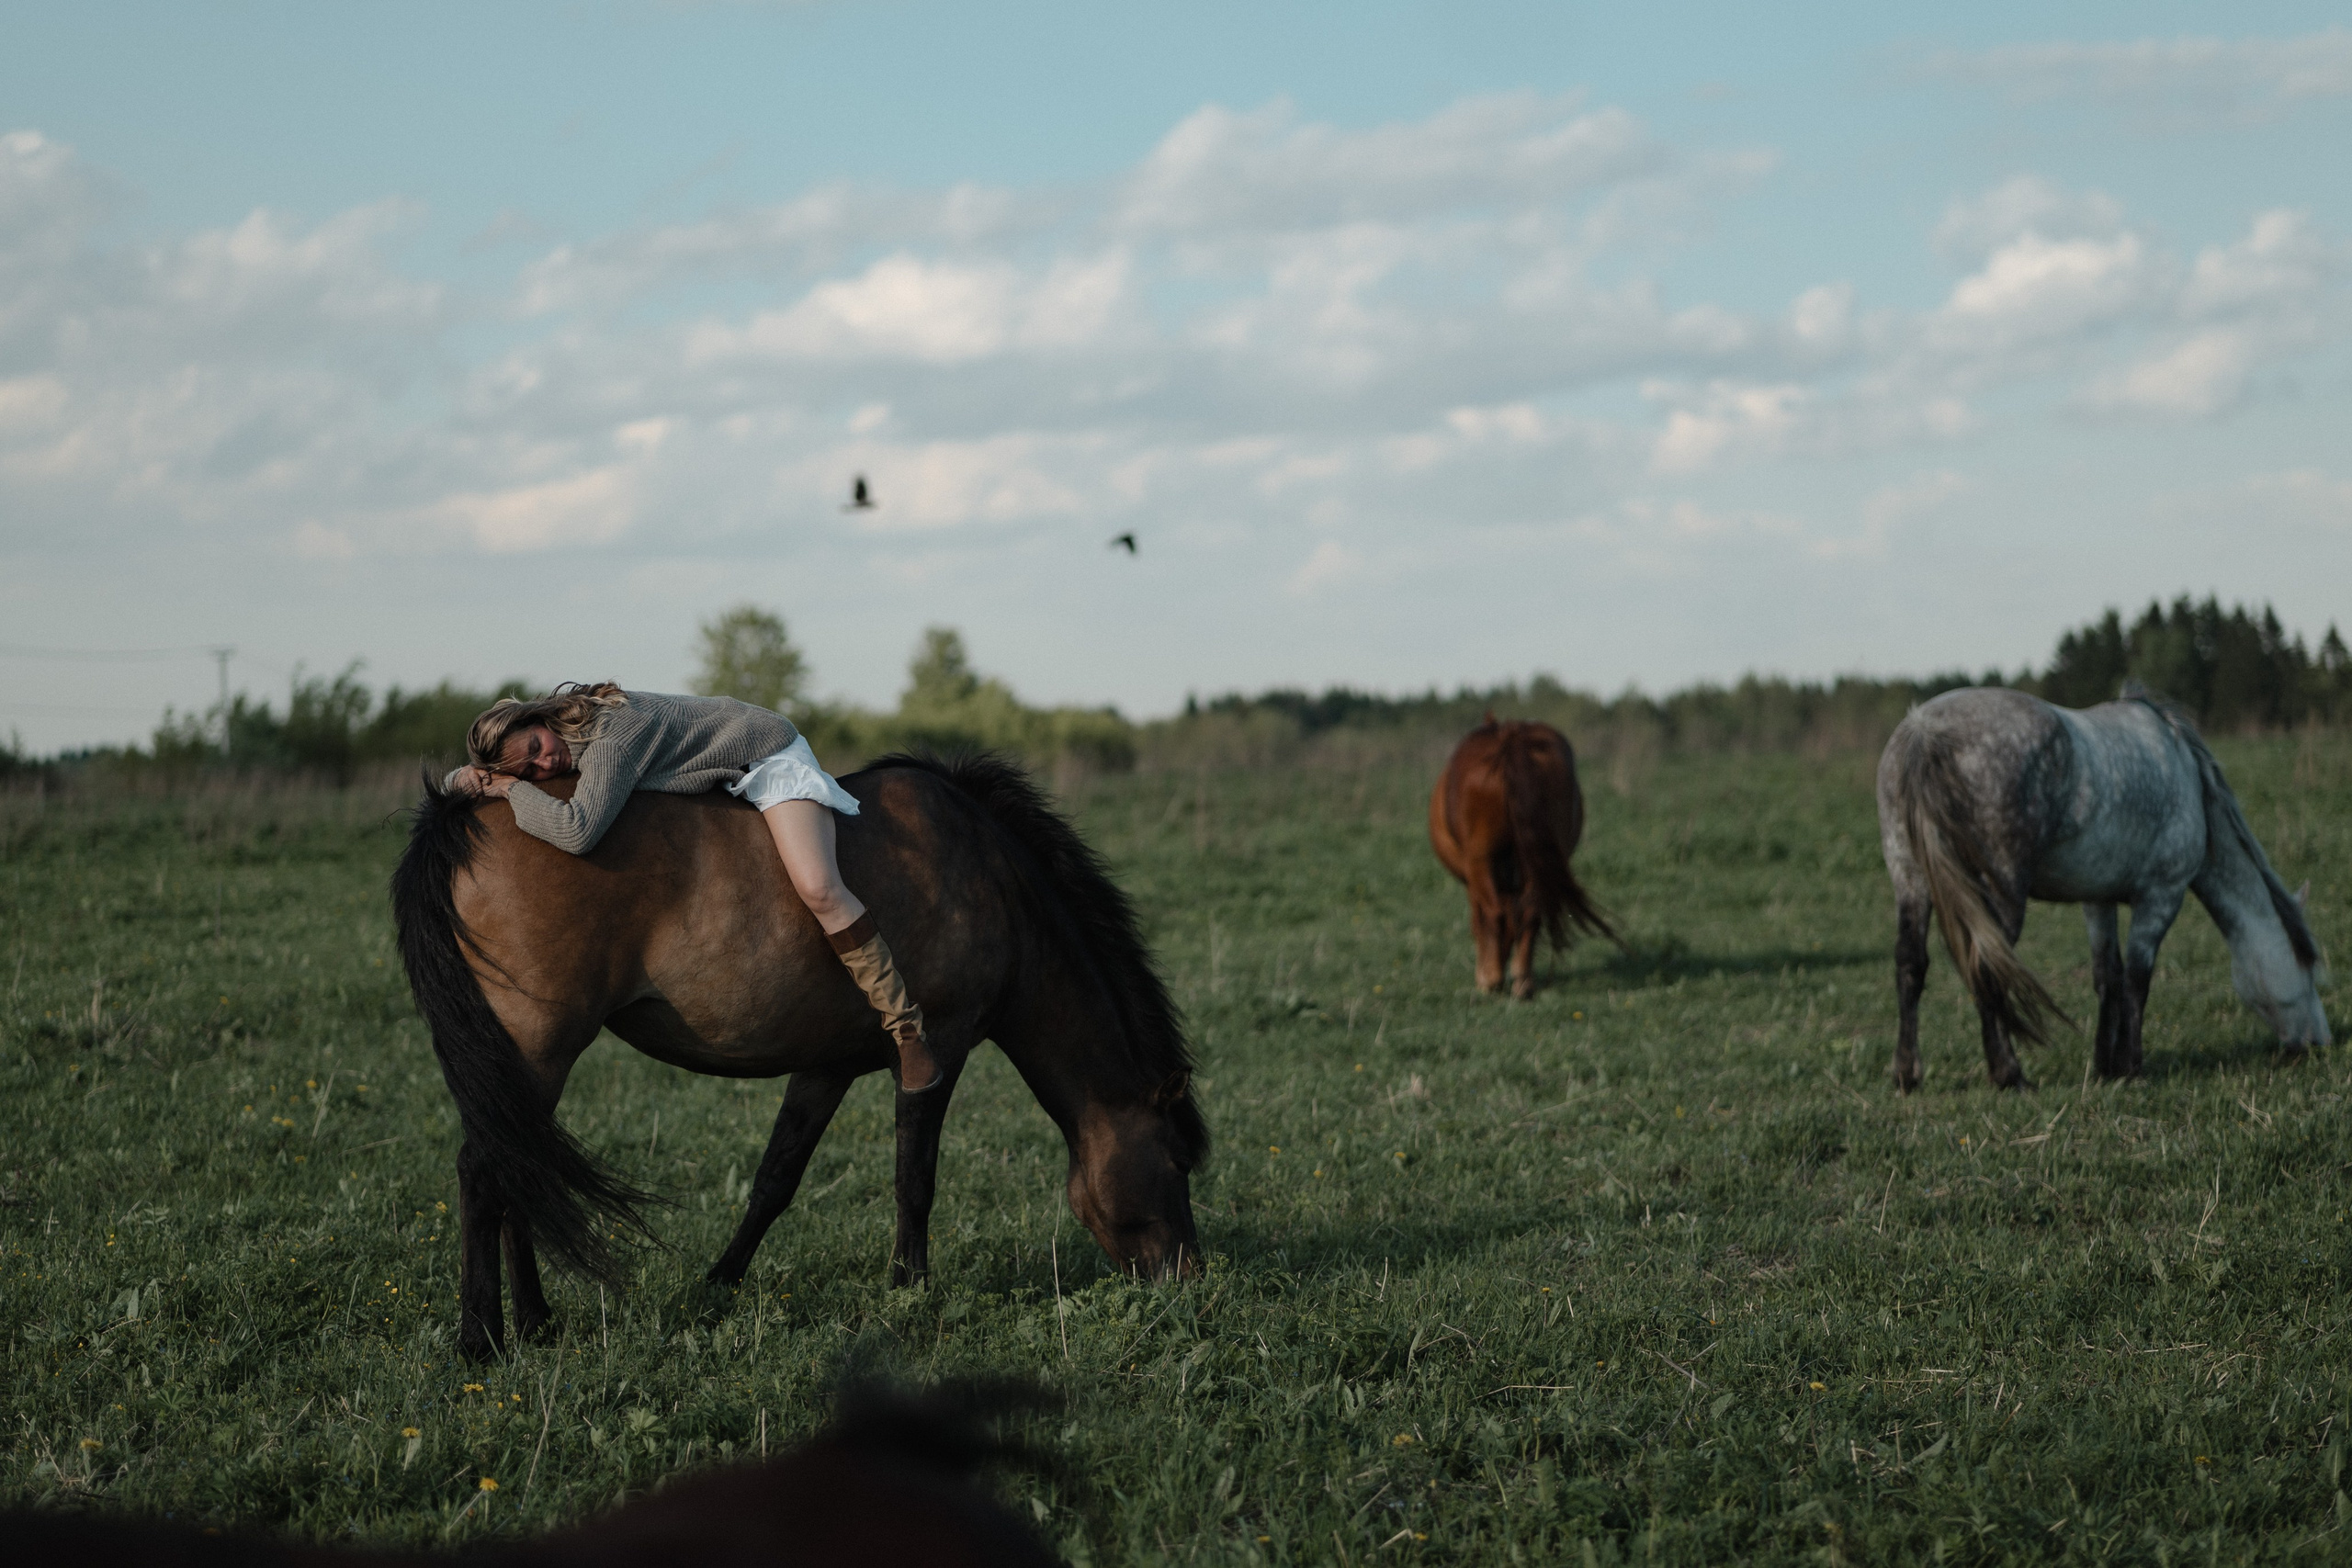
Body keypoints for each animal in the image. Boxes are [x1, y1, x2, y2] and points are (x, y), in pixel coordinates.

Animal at [391, 752, 1206, 1362]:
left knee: (516, 1163)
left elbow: (775, 1180)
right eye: (1176, 1163)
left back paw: (535, 1320)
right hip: (535, 1050)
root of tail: (462, 816)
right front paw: (910, 1286)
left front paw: (720, 1282)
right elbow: (915, 1180)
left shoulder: (827, 1065)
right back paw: (482, 1337)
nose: (1191, 1280)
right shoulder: (934, 1051)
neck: (987, 876)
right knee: (487, 1170)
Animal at [1428, 715, 1618, 998]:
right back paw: (1522, 982)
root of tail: (1511, 740)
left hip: (1481, 861)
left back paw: (1493, 979)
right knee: (1530, 913)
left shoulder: (1473, 880)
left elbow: (1479, 922)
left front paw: (1485, 975)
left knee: (1495, 914)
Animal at [1877, 686, 2328, 1092]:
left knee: (1911, 964)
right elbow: (2136, 980)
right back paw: (2009, 1074)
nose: (2318, 1043)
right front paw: (2130, 1065)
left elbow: (2106, 977)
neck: (2185, 774)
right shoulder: (2161, 897)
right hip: (2001, 892)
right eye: (2309, 969)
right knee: (1987, 966)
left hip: (1910, 879)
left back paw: (1906, 1074)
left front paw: (2104, 1065)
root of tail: (1924, 731)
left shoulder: (2097, 899)